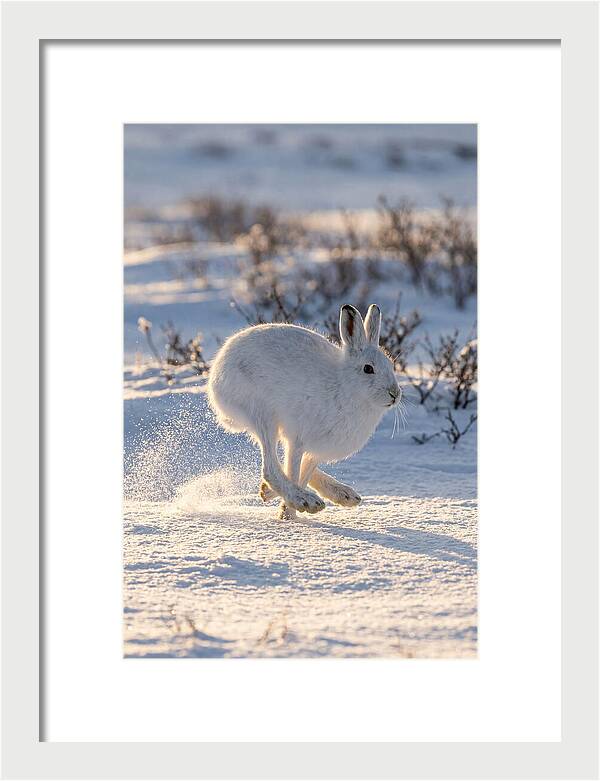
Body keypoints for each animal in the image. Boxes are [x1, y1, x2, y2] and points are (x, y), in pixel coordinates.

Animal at [207, 303, 401, 519]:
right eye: (368, 369)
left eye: (391, 365)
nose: (395, 393)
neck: (345, 386)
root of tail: (217, 372)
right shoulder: (299, 439)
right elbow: (293, 471)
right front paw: (289, 514)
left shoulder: (316, 449)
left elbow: (303, 472)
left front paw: (284, 508)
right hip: (262, 414)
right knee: (271, 468)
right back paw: (305, 500)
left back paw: (342, 495)